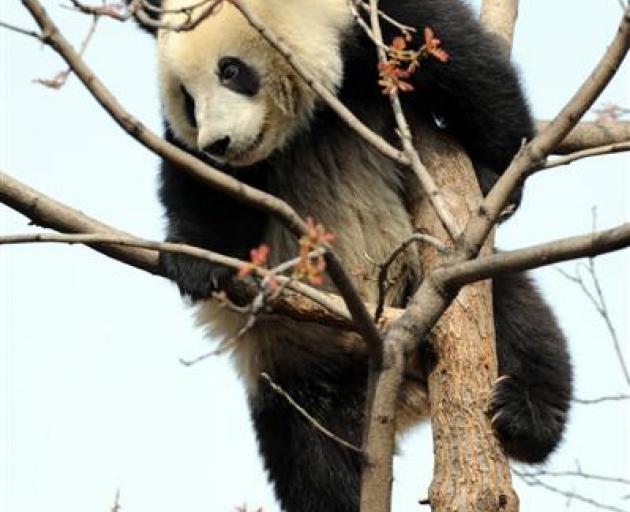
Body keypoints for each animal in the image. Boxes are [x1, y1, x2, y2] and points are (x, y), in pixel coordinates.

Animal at [131, 1, 576, 512]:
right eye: (186, 98)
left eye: (231, 70)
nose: (218, 143)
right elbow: (199, 184)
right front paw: (197, 260)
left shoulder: (375, 29)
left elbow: (471, 71)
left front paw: (494, 173)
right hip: (291, 364)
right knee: (312, 456)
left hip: (438, 279)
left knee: (520, 321)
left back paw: (524, 418)